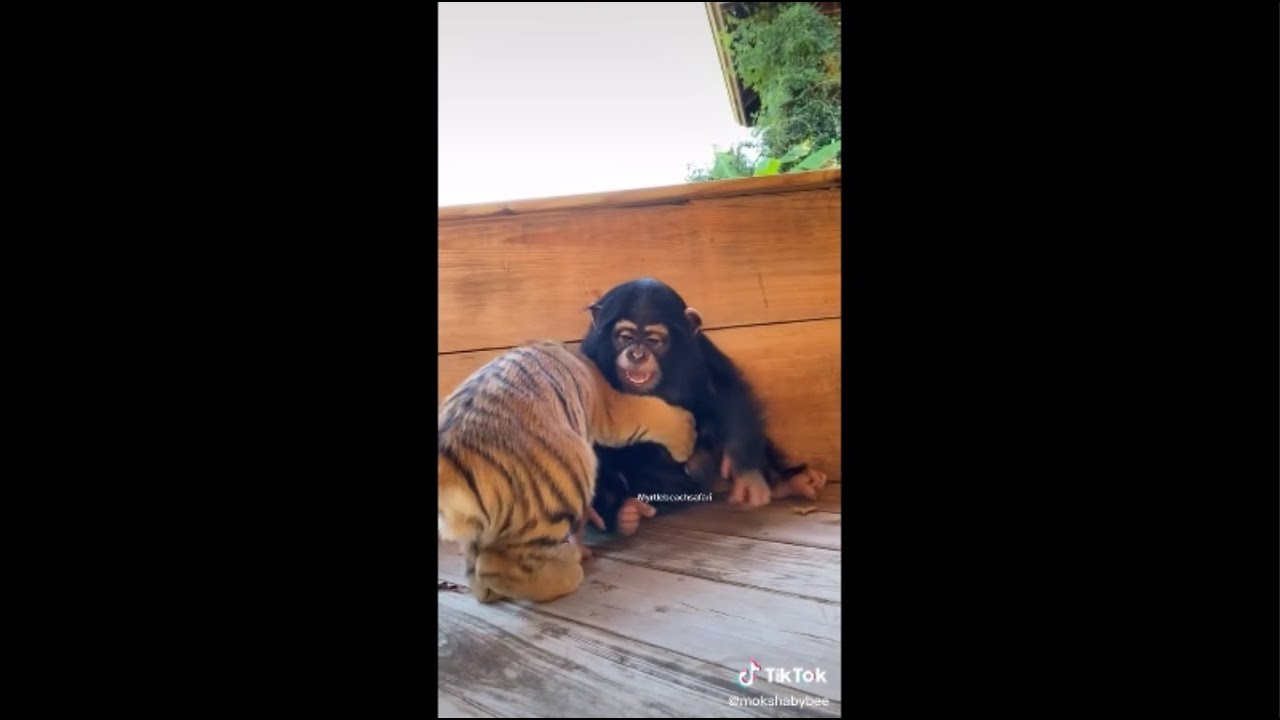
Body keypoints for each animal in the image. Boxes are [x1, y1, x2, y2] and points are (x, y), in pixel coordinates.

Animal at [438, 340, 697, 603]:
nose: (637, 355)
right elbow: (648, 410)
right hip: (567, 480)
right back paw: (567, 573)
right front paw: (687, 433)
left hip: (479, 533)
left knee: (479, 572)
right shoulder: (611, 408)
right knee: (497, 566)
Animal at [579, 277, 828, 535]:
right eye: (625, 337)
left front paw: (745, 472)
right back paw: (624, 513)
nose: (637, 354)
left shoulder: (698, 345)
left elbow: (724, 385)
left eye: (653, 341)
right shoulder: (592, 353)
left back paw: (789, 482)